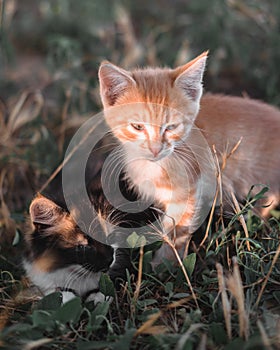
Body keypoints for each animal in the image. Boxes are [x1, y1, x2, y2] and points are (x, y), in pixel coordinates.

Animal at [98, 51, 280, 260]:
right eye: (137, 126)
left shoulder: (188, 192)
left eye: (171, 127)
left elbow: (177, 232)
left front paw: (166, 263)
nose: (155, 149)